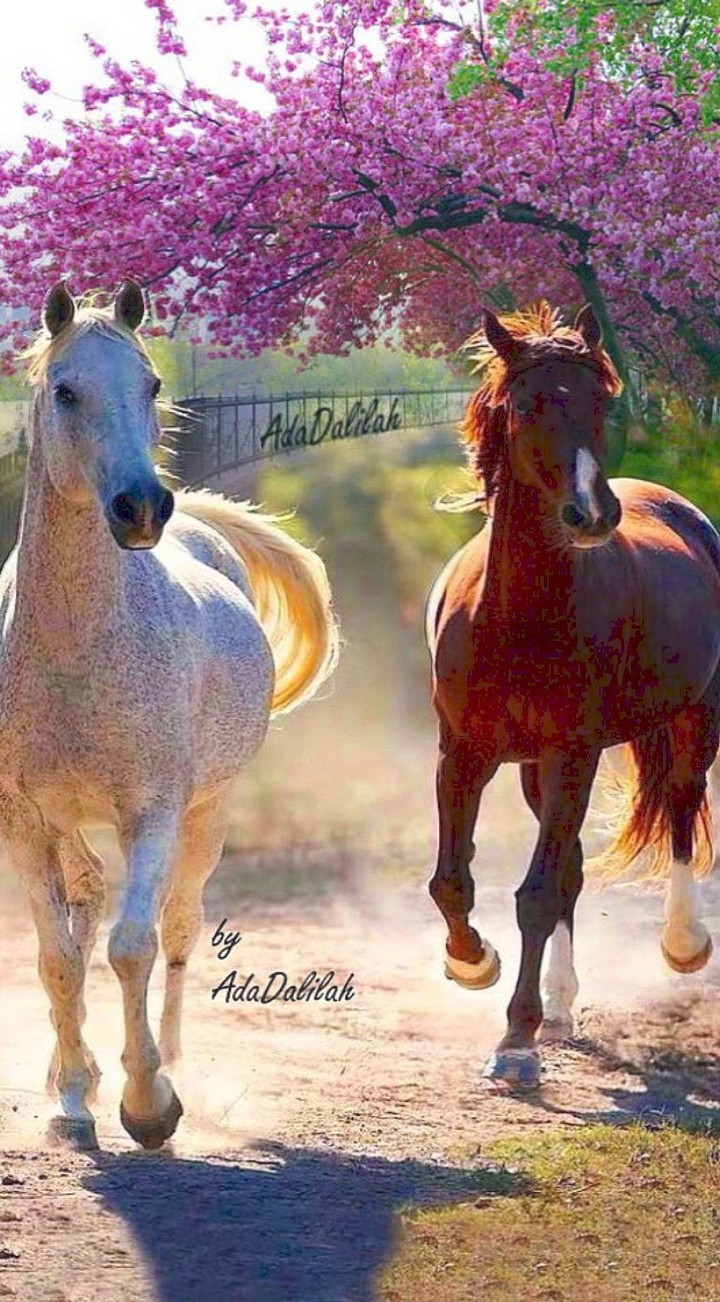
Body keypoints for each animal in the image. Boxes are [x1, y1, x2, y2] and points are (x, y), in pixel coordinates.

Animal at [0, 281, 338, 1149]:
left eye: (152, 384)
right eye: (66, 391)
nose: (141, 507)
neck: (76, 645)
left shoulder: (150, 810)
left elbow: (133, 946)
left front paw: (149, 1103)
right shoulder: (25, 818)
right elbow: (58, 956)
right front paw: (73, 1097)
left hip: (207, 814)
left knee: (180, 928)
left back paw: (177, 1064)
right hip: (69, 821)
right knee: (85, 904)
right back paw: (70, 1080)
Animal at [426, 301, 720, 1090]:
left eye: (600, 401)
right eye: (528, 404)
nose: (593, 514)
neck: (517, 615)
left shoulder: (572, 755)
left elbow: (535, 894)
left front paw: (516, 1041)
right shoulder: (464, 755)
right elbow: (453, 882)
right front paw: (473, 963)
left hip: (693, 720)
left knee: (680, 812)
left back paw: (684, 944)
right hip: (533, 770)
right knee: (574, 871)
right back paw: (560, 1005)